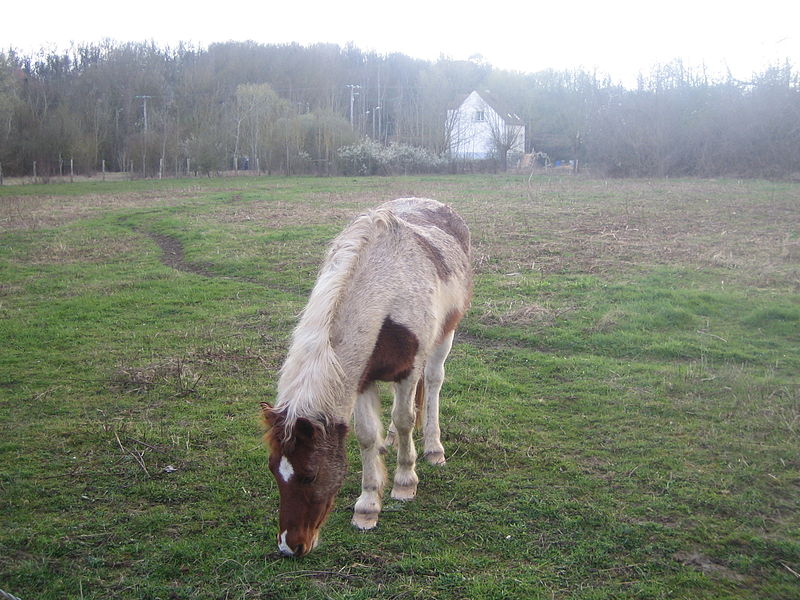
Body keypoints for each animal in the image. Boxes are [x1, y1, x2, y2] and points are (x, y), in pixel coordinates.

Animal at [260, 198, 472, 556]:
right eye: (275, 470)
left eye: (310, 475)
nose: (290, 547)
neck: (385, 291)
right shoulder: (360, 379)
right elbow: (367, 436)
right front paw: (368, 506)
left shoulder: (407, 370)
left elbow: (405, 418)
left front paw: (404, 482)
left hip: (444, 336)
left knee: (432, 384)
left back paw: (433, 449)